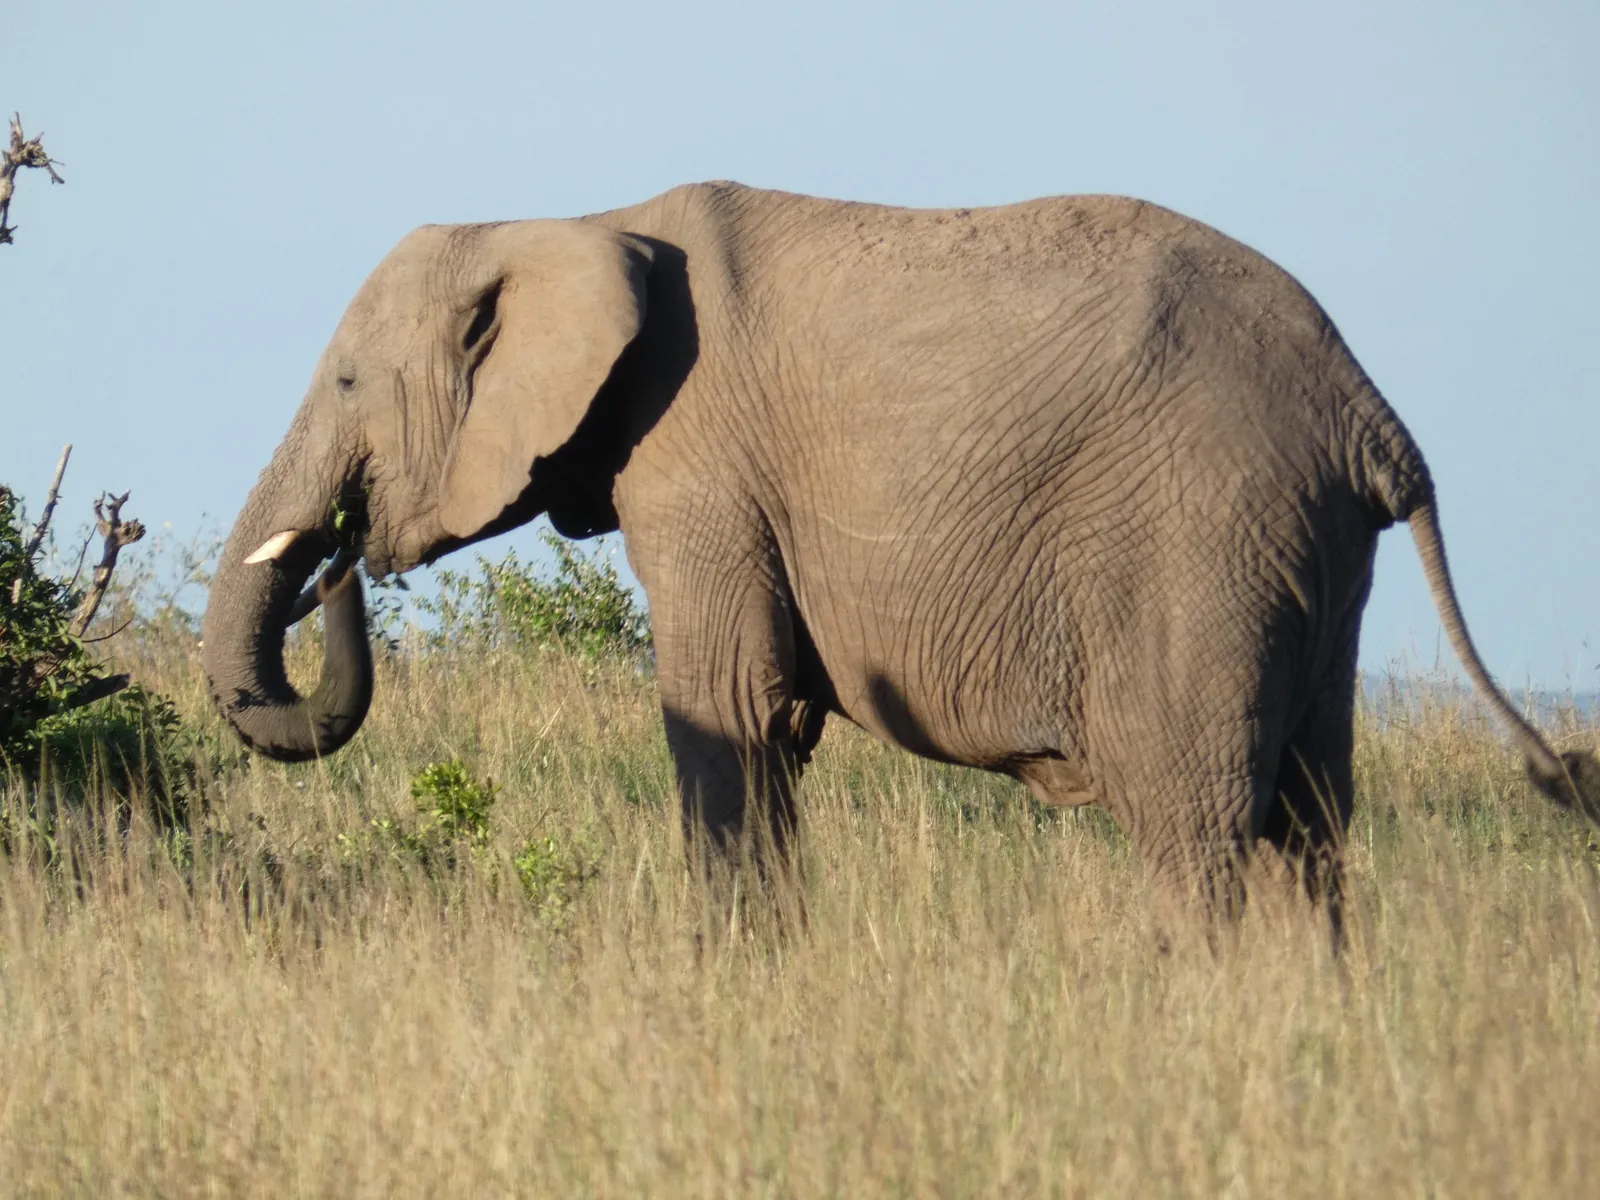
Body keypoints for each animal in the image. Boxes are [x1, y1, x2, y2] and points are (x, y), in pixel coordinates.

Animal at [202, 182, 1599, 933]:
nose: (338, 558)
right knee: (1311, 828)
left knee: (1196, 825)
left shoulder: (699, 466)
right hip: (1302, 550)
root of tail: (1370, 414)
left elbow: (732, 714)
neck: (577, 219)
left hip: (1202, 537)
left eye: (344, 381)